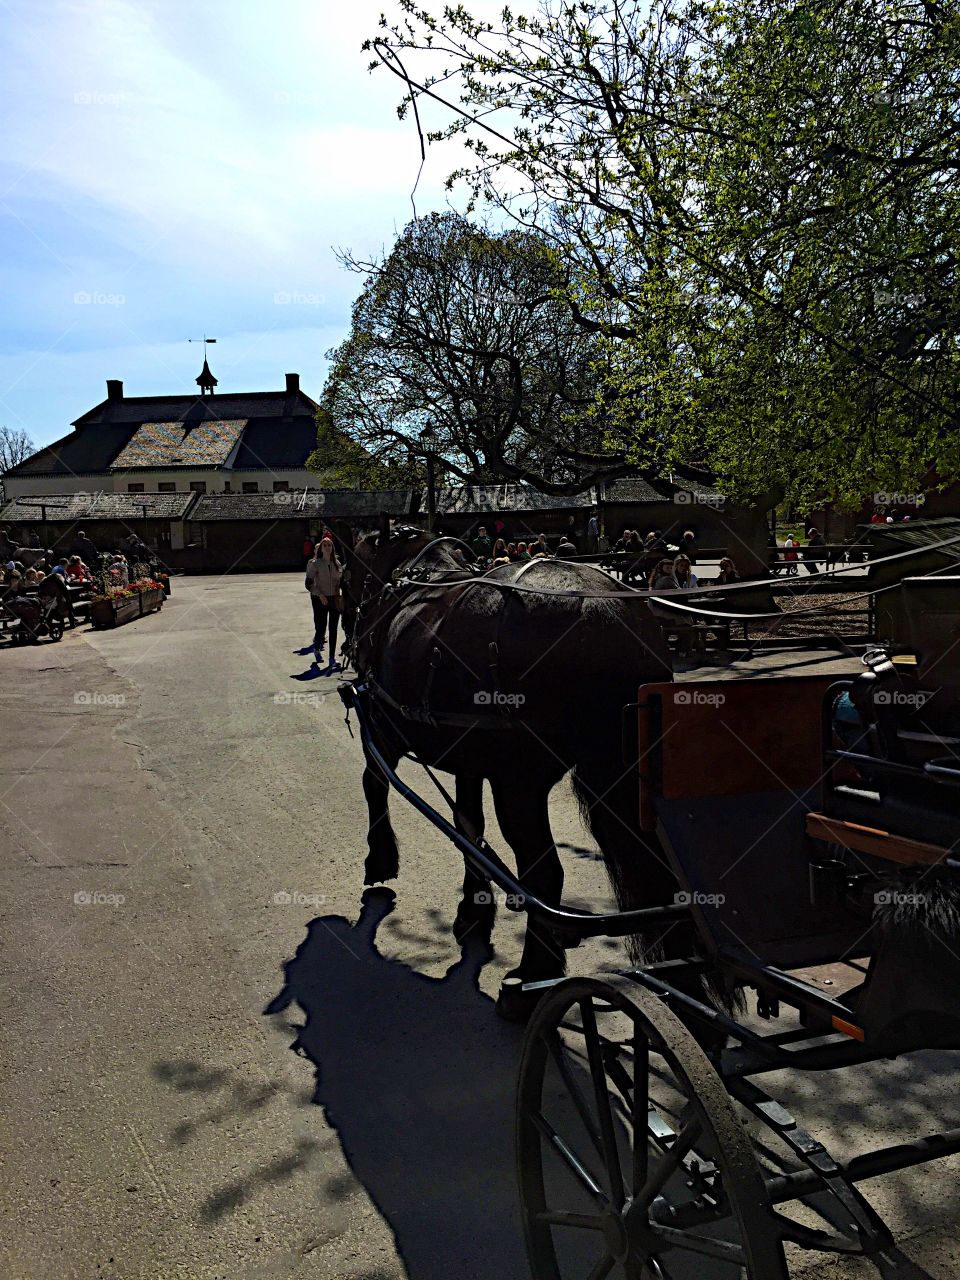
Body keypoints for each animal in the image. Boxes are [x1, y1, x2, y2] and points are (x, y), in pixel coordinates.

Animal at [343, 519, 686, 1018]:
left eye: (349, 572)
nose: (348, 625)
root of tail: (602, 611)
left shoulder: (385, 732)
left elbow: (374, 785)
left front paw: (381, 859)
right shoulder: (467, 761)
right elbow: (468, 825)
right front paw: (474, 906)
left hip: (519, 786)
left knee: (544, 875)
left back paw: (531, 979)